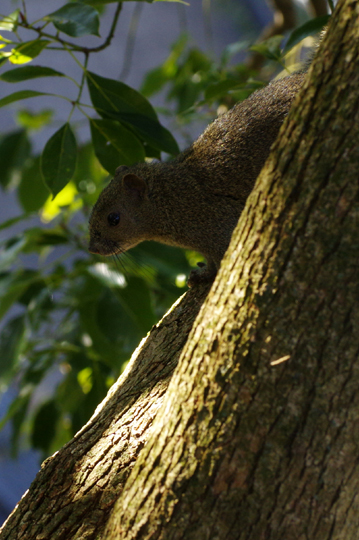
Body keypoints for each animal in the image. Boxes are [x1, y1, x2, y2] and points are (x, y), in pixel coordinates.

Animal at [89, 71, 306, 286]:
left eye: (113, 219)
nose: (93, 249)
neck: (172, 197)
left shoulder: (220, 224)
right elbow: (210, 262)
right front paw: (203, 275)